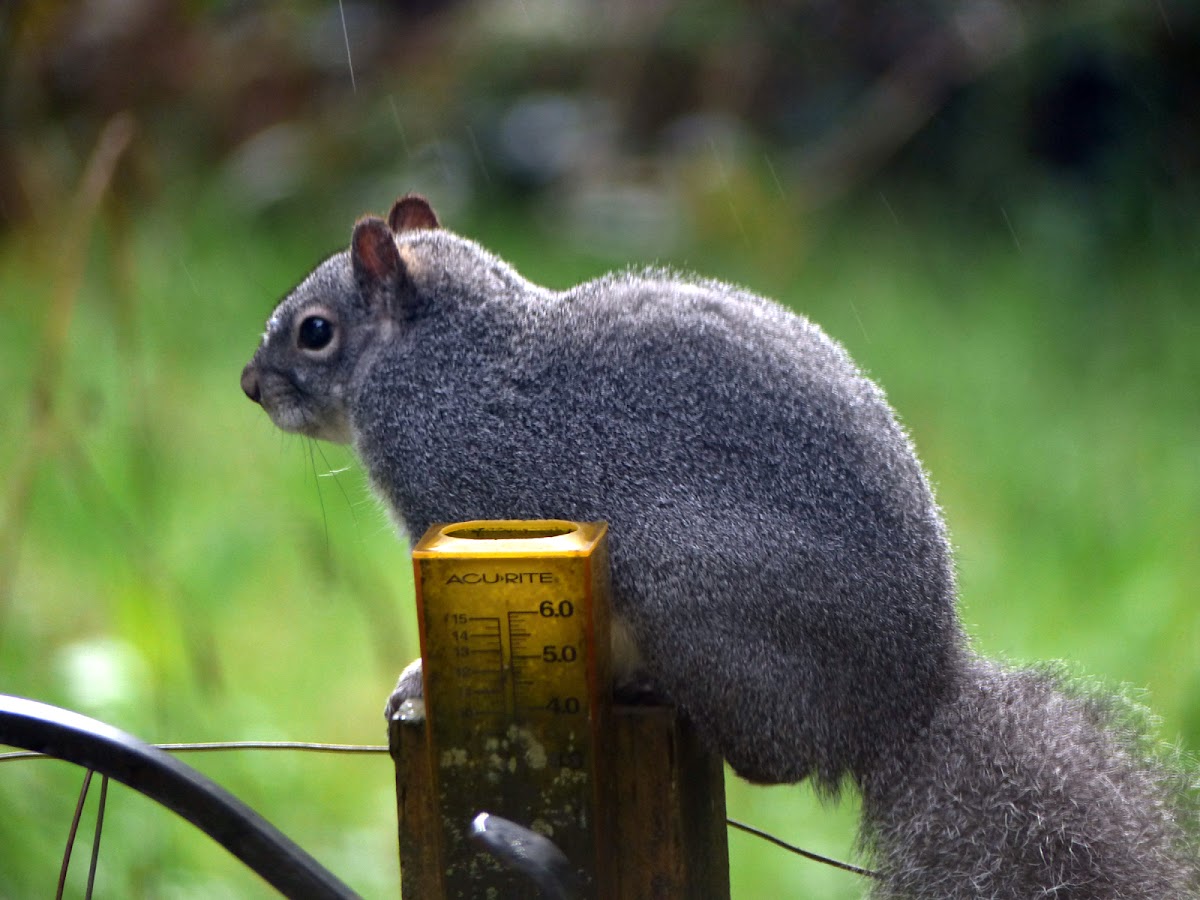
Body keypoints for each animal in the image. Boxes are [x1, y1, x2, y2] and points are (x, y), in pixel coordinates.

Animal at [238, 194, 1195, 897]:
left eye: (314, 330)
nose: (250, 386)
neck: (438, 354)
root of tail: (907, 697)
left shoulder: (457, 494)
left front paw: (415, 682)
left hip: (690, 589)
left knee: (775, 760)